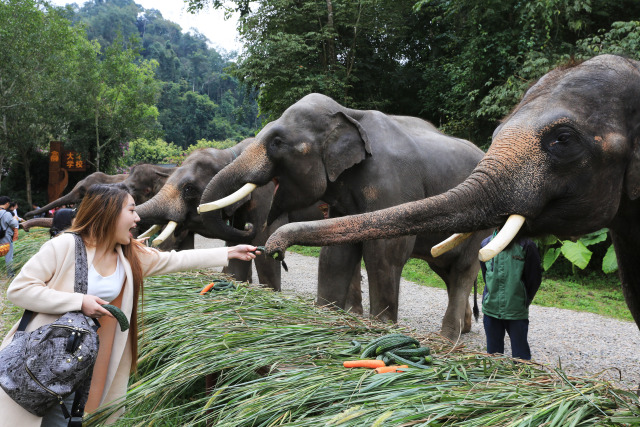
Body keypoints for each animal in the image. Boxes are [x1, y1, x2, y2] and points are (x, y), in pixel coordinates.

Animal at [198, 93, 488, 342]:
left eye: (277, 142)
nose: (248, 228)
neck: (349, 113)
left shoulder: (393, 185)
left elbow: (386, 251)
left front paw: (381, 327)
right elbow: (337, 252)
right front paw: (327, 313)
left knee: (463, 269)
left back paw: (447, 338)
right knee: (445, 268)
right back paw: (461, 330)